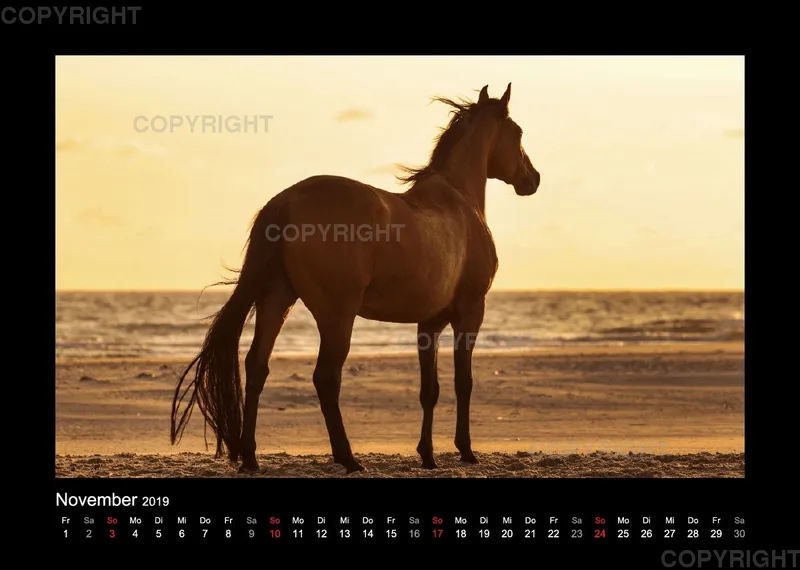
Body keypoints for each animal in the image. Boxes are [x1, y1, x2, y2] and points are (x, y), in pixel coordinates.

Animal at [170, 83, 541, 473]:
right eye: (517, 133)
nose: (532, 179)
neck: (458, 201)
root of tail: (286, 202)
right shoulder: (470, 313)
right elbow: (463, 382)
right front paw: (465, 450)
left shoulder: (429, 323)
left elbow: (430, 390)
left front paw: (427, 455)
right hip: (336, 315)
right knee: (325, 377)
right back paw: (347, 457)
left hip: (276, 301)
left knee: (257, 367)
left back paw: (251, 458)